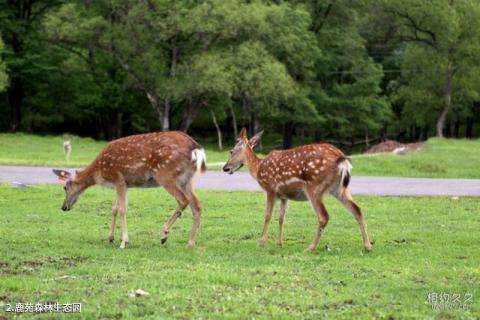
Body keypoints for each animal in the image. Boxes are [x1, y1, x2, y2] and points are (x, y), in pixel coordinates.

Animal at [53, 131, 206, 249]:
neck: (99, 171)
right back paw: (190, 243)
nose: (64, 207)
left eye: (65, 187)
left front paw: (124, 242)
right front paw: (111, 237)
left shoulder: (118, 178)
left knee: (183, 200)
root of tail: (196, 148)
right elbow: (115, 209)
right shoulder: (124, 184)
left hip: (165, 173)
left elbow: (122, 209)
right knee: (197, 205)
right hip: (187, 179)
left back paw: (164, 234)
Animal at [223, 129, 374, 251]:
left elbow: (268, 215)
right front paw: (280, 243)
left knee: (324, 216)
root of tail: (341, 159)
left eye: (231, 151)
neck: (258, 168)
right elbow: (281, 218)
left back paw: (311, 247)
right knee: (357, 209)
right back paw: (367, 246)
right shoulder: (284, 196)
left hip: (314, 186)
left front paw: (261, 241)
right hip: (339, 188)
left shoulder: (270, 189)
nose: (225, 168)